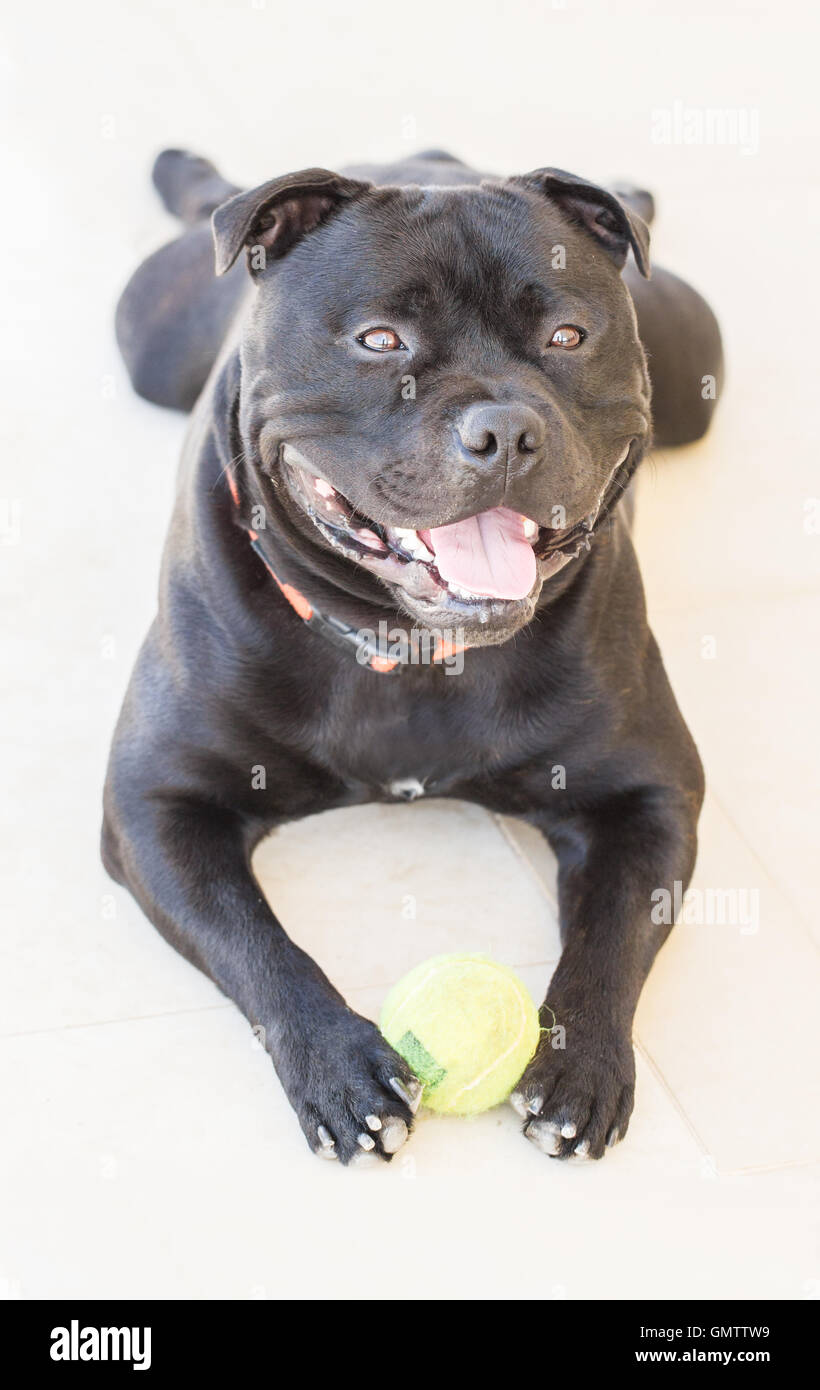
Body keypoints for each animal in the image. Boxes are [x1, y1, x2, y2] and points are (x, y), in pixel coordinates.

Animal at [104, 143, 728, 1162]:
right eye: (379, 340)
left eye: (567, 336)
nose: (504, 430)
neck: (412, 647)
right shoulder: (154, 804)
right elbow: (254, 938)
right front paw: (336, 1066)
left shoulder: (649, 795)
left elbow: (611, 935)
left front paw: (581, 1066)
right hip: (148, 339)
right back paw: (186, 173)